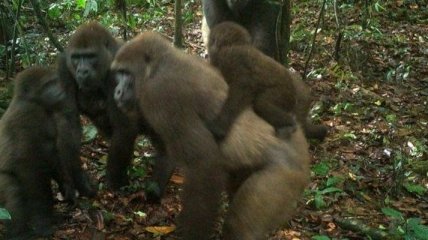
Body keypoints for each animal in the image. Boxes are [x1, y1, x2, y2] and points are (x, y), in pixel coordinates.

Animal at [0, 66, 75, 239]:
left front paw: (66, 185)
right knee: (14, 193)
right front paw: (43, 223)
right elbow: (29, 170)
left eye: (55, 81)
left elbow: (53, 155)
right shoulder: (28, 115)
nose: (60, 90)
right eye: (48, 84)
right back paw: (18, 233)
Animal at [57, 21, 171, 199]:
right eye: (76, 57)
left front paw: (114, 184)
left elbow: (124, 127)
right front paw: (80, 181)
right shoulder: (64, 66)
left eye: (90, 56)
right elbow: (68, 123)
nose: (82, 71)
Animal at [112, 32, 310, 240]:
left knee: (238, 226)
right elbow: (166, 151)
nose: (117, 91)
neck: (158, 65)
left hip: (285, 175)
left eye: (125, 73)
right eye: (118, 73)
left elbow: (203, 164)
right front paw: (152, 193)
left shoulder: (160, 93)